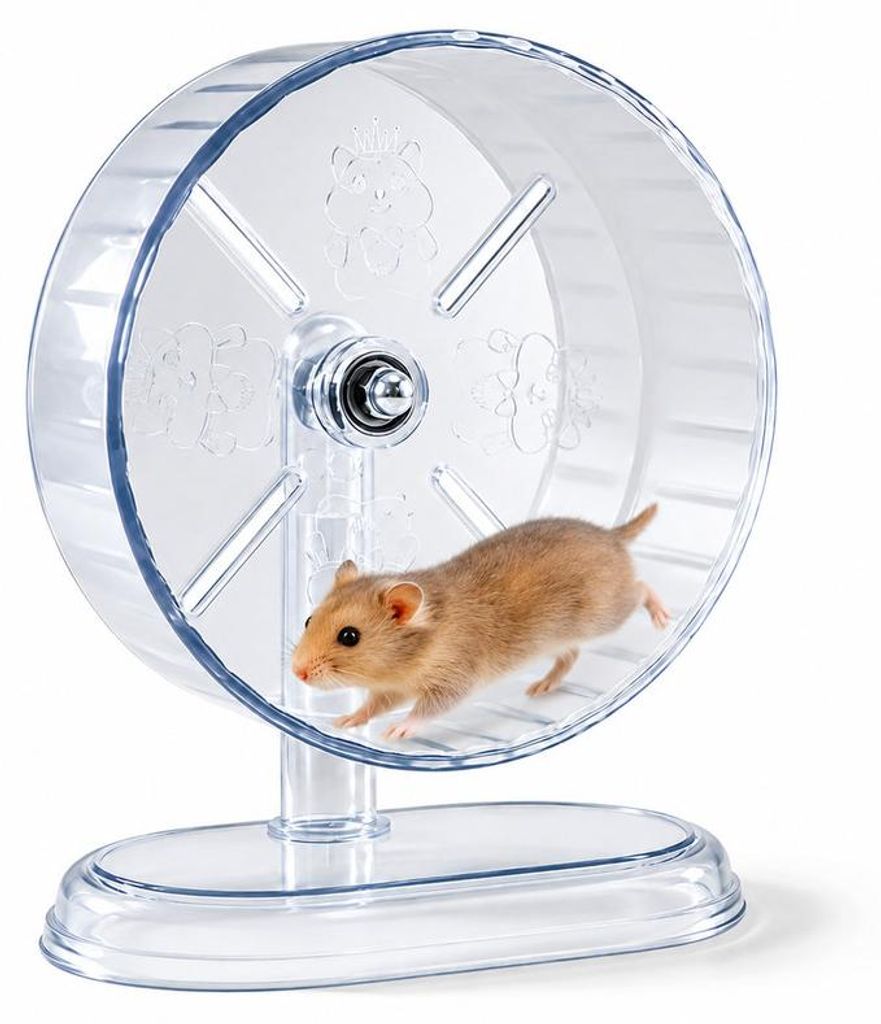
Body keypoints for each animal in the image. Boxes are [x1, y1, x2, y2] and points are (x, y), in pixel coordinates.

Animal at [291, 504, 669, 740]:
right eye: (308, 619)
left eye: (349, 636)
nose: (297, 673)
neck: (416, 649)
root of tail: (613, 536)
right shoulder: (393, 689)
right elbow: (373, 705)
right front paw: (344, 721)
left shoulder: (453, 679)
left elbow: (425, 709)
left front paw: (396, 731)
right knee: (570, 655)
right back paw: (540, 687)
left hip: (607, 615)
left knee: (641, 588)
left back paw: (663, 619)